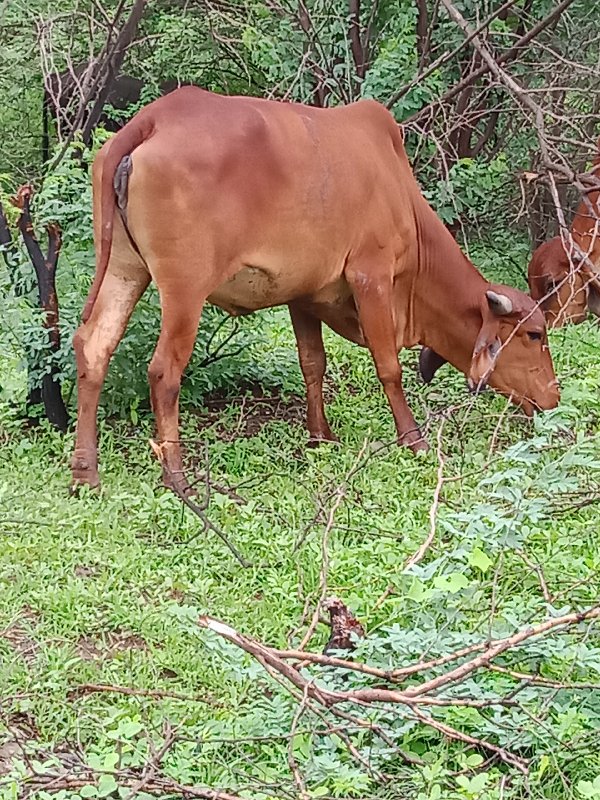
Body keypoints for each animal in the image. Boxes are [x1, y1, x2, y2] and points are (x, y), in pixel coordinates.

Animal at [72, 86, 560, 488]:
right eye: (534, 335)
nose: (553, 398)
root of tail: (153, 119)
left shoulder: (303, 295)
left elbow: (313, 364)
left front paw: (320, 436)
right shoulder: (371, 275)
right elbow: (388, 366)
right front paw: (413, 439)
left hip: (124, 268)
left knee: (94, 346)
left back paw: (85, 472)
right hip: (185, 290)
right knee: (164, 372)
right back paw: (177, 477)